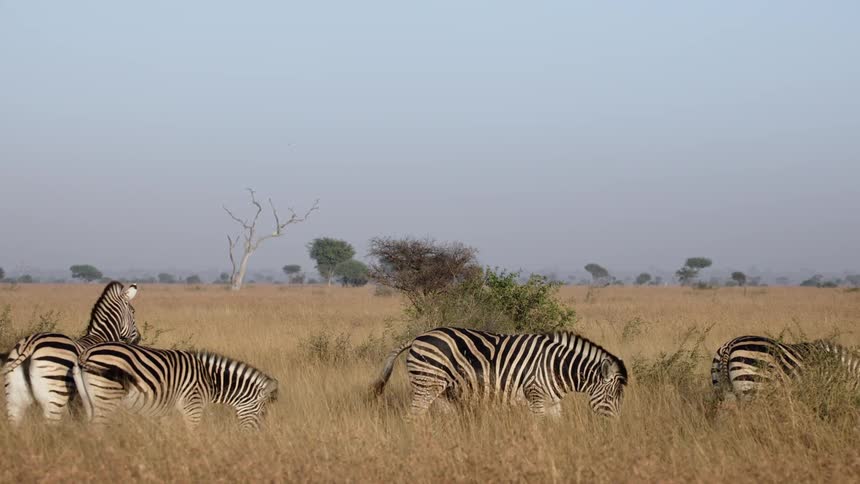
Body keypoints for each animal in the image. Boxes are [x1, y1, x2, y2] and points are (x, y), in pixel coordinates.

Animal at [2, 281, 140, 425]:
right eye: (133, 312)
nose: (138, 339)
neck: (100, 337)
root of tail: (31, 343)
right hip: (55, 392)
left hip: (14, 396)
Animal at [72, 343, 279, 430]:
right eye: (262, 413)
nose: (256, 435)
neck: (210, 379)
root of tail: (86, 353)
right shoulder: (193, 405)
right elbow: (193, 433)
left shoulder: (166, 410)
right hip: (107, 395)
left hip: (90, 399)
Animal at [372, 327, 628, 417]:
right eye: (611, 397)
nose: (613, 428)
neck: (556, 366)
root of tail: (417, 337)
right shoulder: (535, 395)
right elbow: (539, 428)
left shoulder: (553, 402)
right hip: (427, 384)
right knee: (413, 417)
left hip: (443, 391)